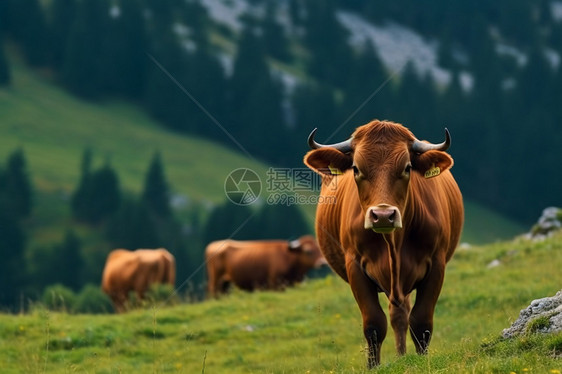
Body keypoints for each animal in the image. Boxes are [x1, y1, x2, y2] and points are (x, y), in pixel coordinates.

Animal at [304, 120, 462, 368]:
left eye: (407, 167)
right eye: (356, 169)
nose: (384, 215)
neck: (393, 243)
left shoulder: (437, 264)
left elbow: (421, 323)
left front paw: (422, 362)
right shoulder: (355, 266)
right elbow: (374, 324)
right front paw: (373, 367)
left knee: (402, 314)